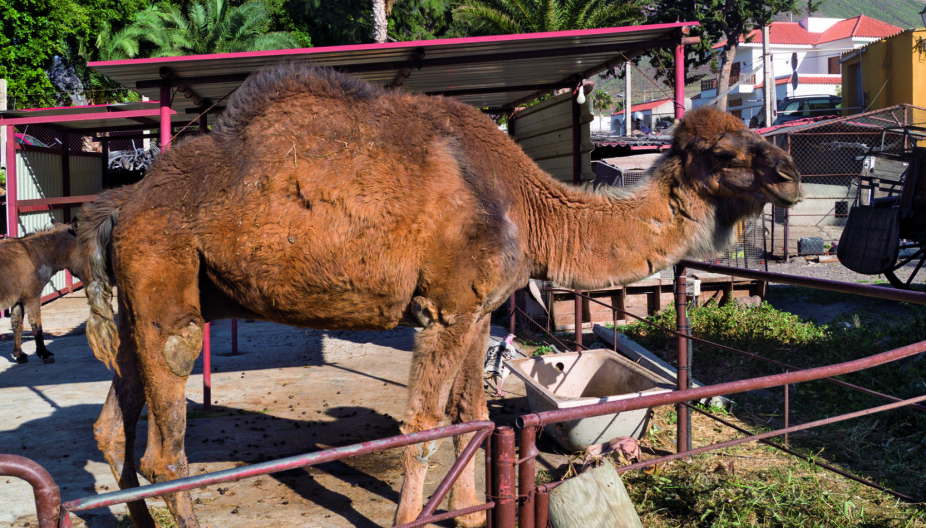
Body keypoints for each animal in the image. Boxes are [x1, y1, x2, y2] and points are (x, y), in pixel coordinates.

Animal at [0, 219, 88, 364]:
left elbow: (17, 323)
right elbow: (36, 323)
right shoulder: (32, 295)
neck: (37, 256)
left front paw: (19, 354)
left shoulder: (19, 298)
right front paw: (44, 353)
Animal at [78, 63, 804, 528]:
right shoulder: (444, 311)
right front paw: (416, 517)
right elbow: (424, 427)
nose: (791, 174)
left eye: (752, 134)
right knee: (164, 452)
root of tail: (117, 207)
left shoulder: (478, 312)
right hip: (167, 292)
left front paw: (468, 513)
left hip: (138, 307)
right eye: (723, 153)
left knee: (114, 428)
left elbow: (471, 415)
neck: (528, 206)